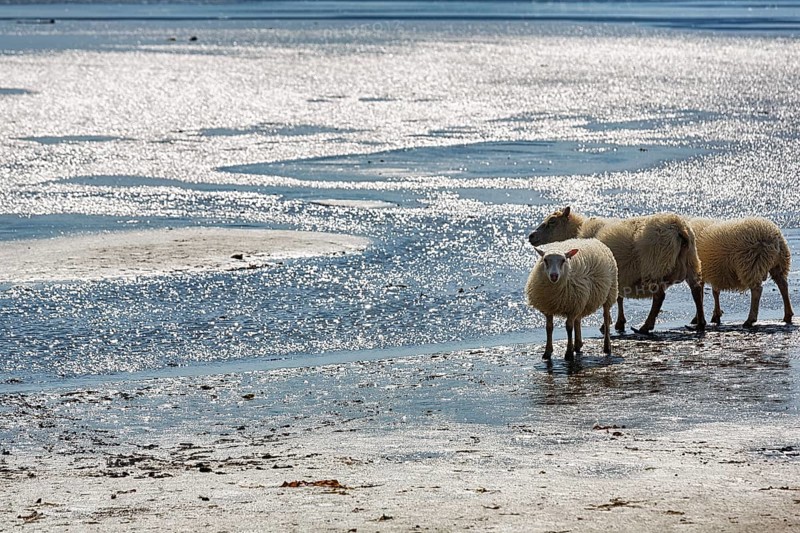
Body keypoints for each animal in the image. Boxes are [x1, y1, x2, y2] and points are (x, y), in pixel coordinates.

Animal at [528, 206, 706, 334]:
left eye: (552, 221)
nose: (531, 236)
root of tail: (679, 228)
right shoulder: (617, 273)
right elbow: (619, 297)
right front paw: (620, 323)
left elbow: (613, 298)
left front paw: (609, 324)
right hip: (691, 261)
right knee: (697, 290)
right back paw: (700, 323)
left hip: (654, 266)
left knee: (659, 297)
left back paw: (645, 327)